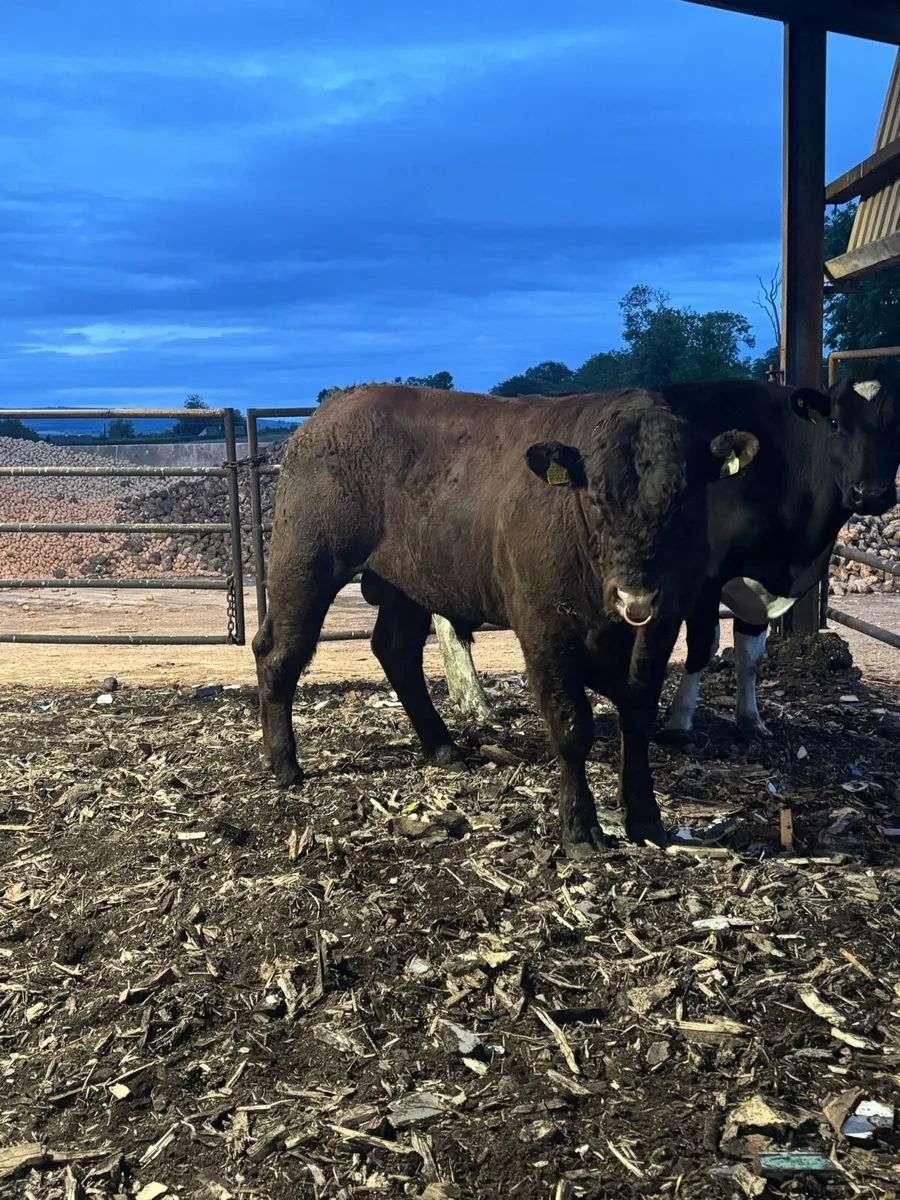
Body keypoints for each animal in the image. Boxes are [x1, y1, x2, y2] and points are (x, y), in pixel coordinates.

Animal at [253, 383, 759, 856]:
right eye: (596, 500)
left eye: (682, 500)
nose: (634, 594)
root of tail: (329, 411)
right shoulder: (544, 629)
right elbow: (572, 726)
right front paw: (581, 831)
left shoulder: (661, 626)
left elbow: (637, 719)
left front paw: (647, 820)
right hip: (305, 563)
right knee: (279, 653)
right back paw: (286, 766)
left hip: (406, 584)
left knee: (396, 651)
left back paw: (443, 748)